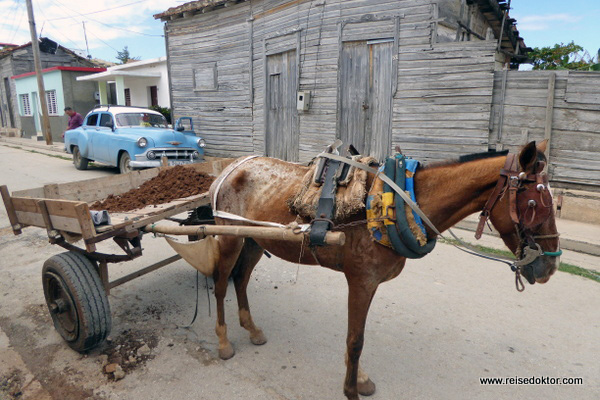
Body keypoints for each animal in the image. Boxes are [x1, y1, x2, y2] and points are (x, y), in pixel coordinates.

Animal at [207, 140, 564, 396]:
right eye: (534, 203)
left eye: (555, 203)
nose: (549, 266)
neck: (396, 205)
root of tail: (234, 165)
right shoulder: (361, 281)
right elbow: (355, 340)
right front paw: (351, 389)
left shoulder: (370, 284)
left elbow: (355, 338)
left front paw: (359, 378)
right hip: (228, 238)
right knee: (222, 283)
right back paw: (223, 341)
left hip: (255, 240)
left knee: (241, 279)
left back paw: (252, 328)